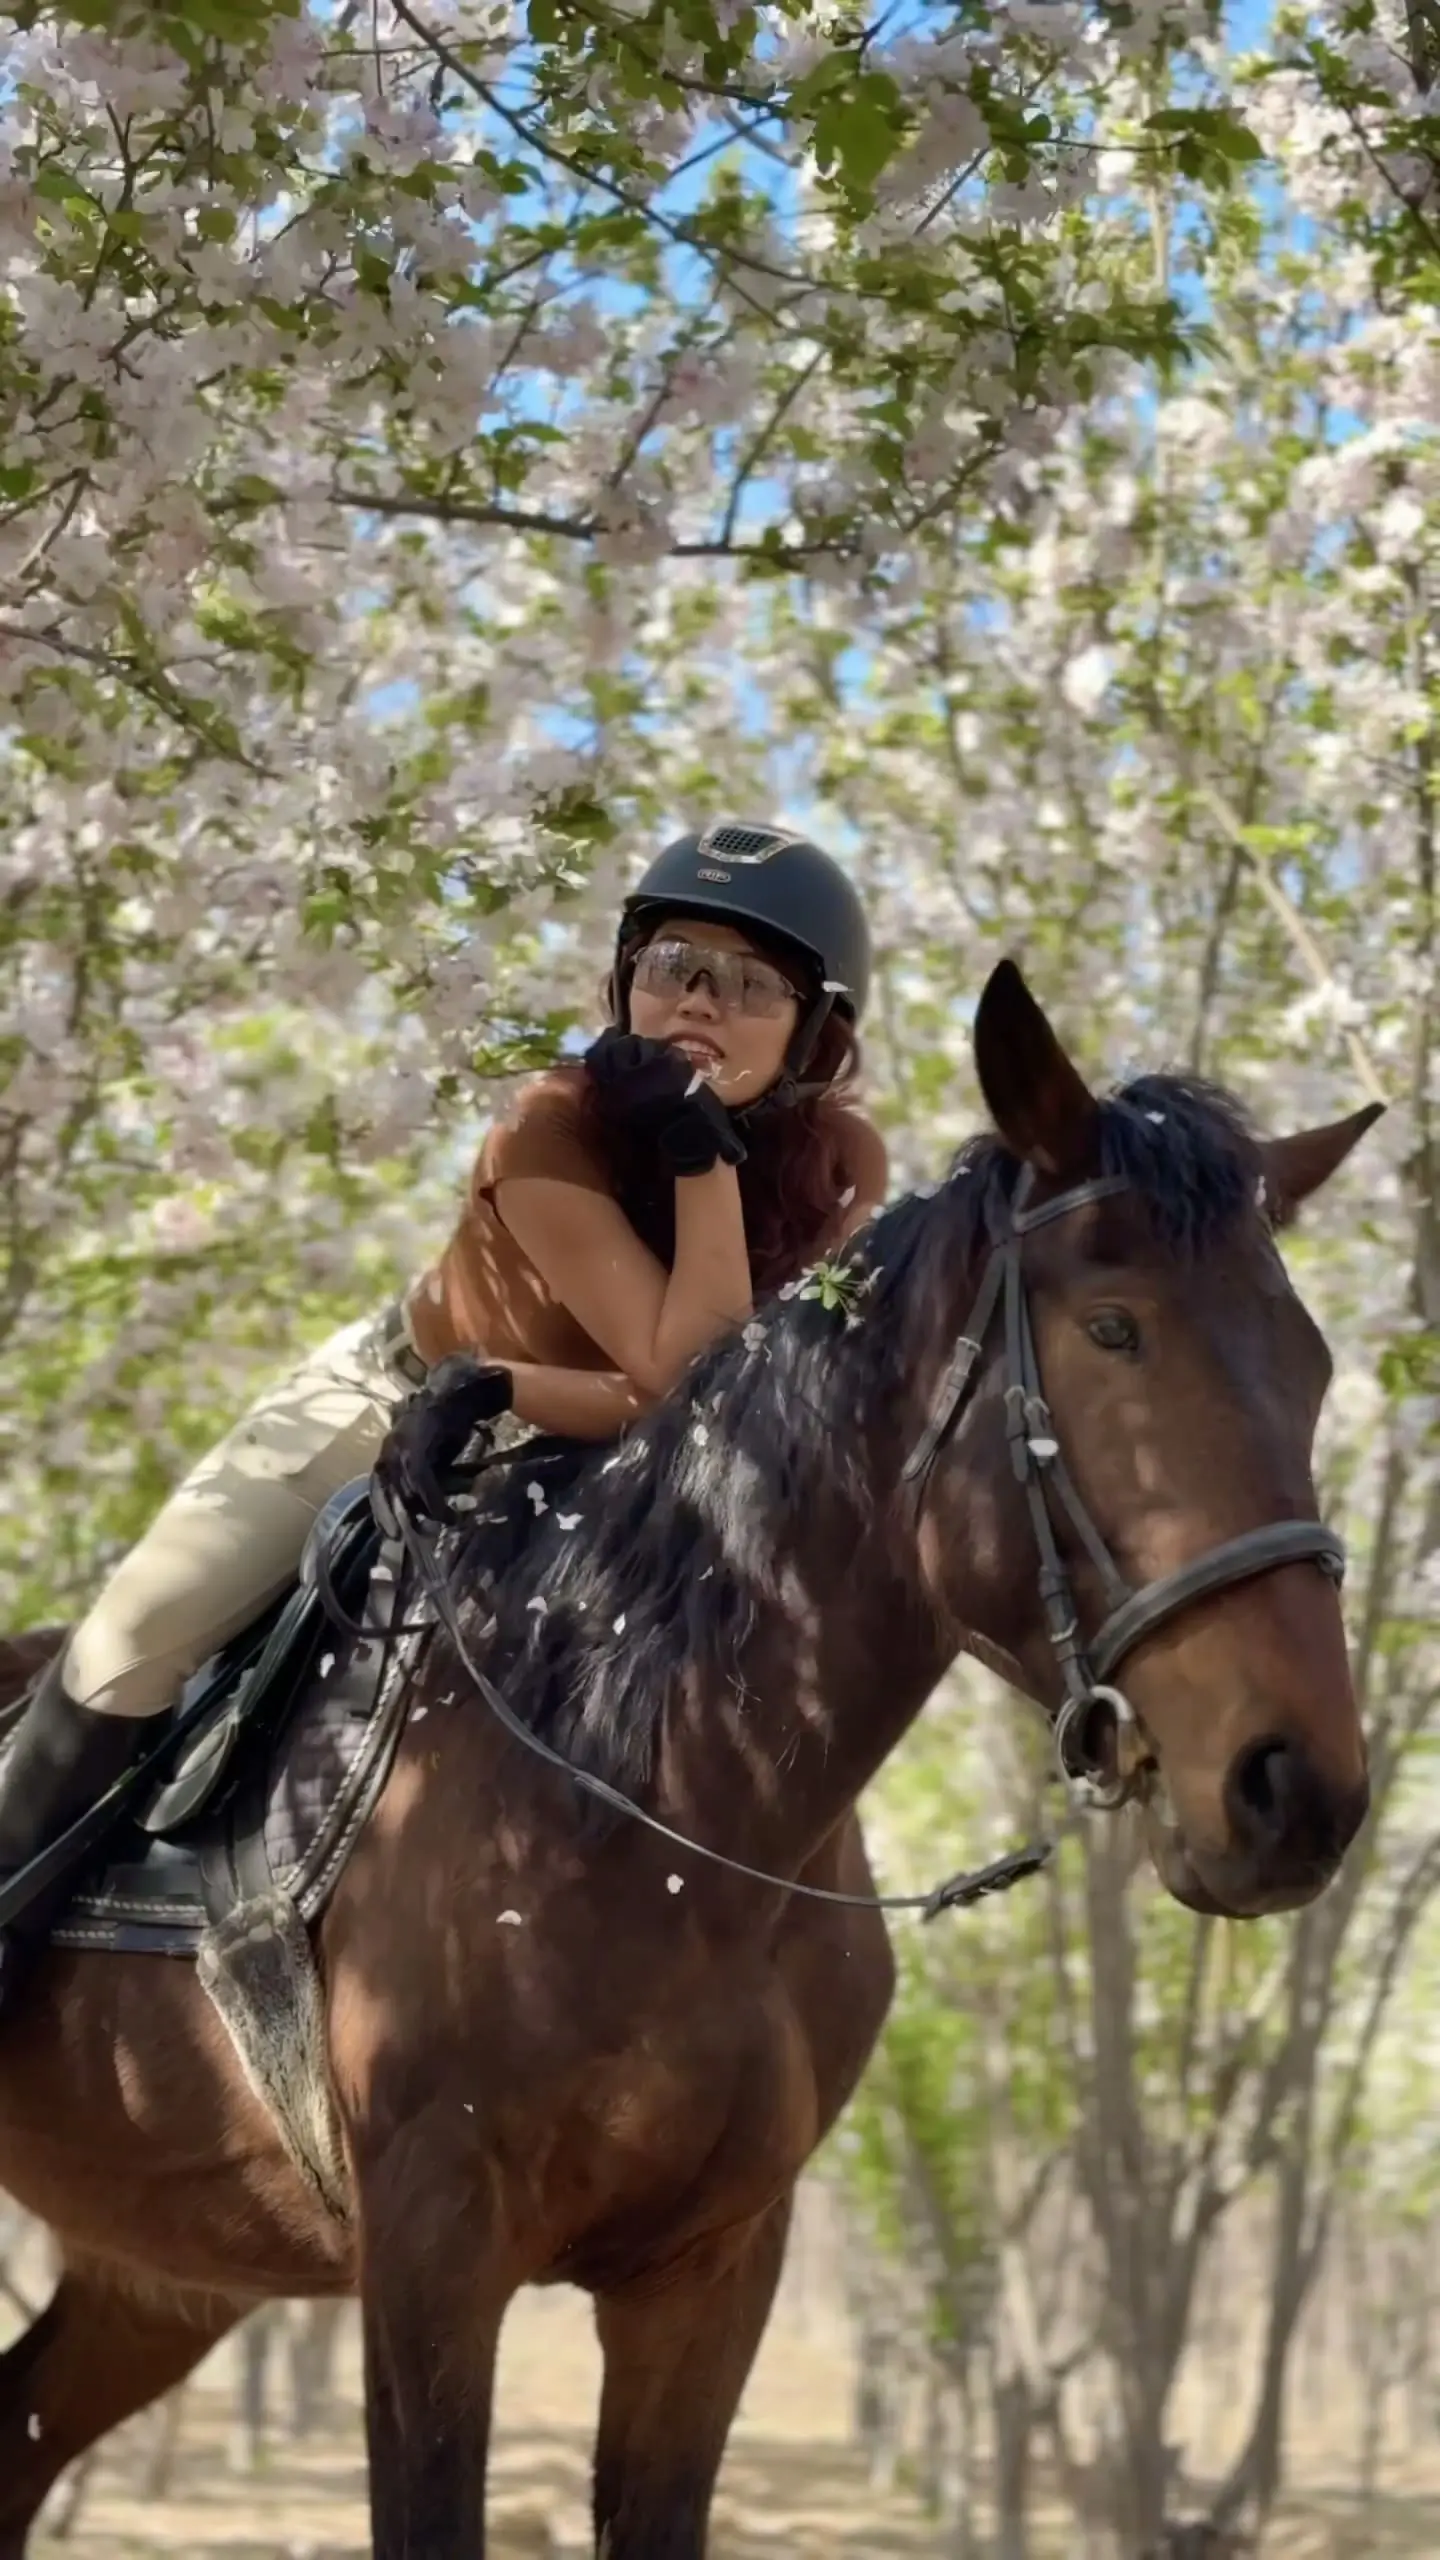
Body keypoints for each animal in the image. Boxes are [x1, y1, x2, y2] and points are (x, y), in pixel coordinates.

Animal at [0, 959, 1378, 2558]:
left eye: (1313, 1366)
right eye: (1112, 1331)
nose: (1295, 1793)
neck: (655, 1805)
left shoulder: (713, 2273)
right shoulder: (431, 2254)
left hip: (163, 2272)